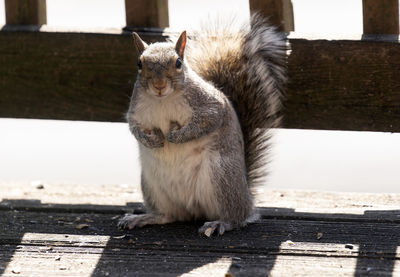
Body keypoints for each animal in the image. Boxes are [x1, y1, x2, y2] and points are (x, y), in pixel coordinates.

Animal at [117, 14, 286, 235]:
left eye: (178, 63)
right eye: (139, 63)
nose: (159, 85)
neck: (163, 100)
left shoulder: (210, 106)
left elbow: (206, 122)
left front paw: (175, 136)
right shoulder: (136, 111)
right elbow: (133, 127)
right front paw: (151, 140)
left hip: (222, 177)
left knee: (238, 217)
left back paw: (221, 222)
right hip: (152, 186)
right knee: (169, 215)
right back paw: (144, 217)